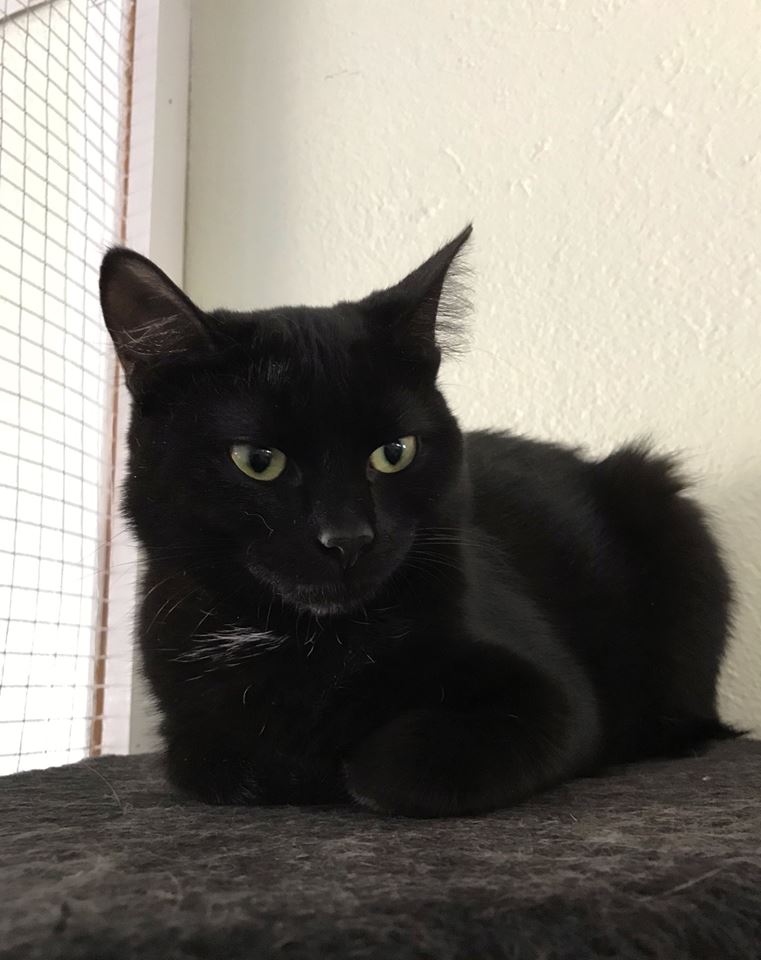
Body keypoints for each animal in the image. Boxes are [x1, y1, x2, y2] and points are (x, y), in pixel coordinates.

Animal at [99, 226, 736, 817]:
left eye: (394, 452)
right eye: (258, 461)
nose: (348, 539)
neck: (311, 640)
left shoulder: (557, 695)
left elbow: (401, 767)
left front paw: (349, 764)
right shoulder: (189, 723)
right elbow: (224, 759)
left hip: (659, 500)